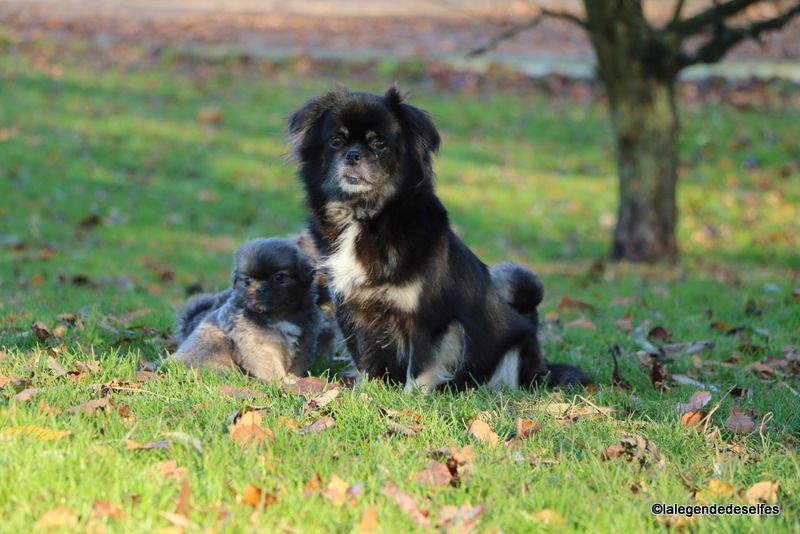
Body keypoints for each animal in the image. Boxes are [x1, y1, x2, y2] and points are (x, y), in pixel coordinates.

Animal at [174, 238, 322, 382]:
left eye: (279, 277)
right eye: (247, 281)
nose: (260, 289)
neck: (277, 315)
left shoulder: (304, 344)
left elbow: (296, 365)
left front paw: (294, 379)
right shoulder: (260, 346)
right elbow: (271, 366)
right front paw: (281, 382)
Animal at [288, 86, 588, 392]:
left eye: (380, 145)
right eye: (336, 141)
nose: (352, 155)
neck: (366, 216)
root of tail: (530, 321)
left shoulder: (430, 318)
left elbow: (420, 366)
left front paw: (410, 398)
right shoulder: (354, 310)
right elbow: (367, 359)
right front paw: (367, 393)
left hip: (514, 353)